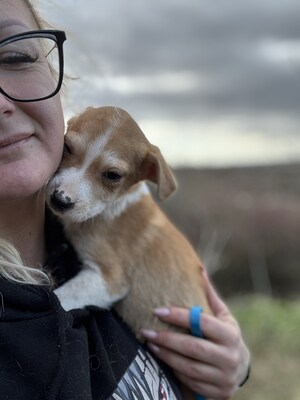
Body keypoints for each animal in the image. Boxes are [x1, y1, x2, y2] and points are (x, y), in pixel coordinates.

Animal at [47, 104, 211, 336]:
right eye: (67, 147)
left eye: (113, 175)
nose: (60, 199)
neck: (110, 208)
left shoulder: (109, 279)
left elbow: (62, 297)